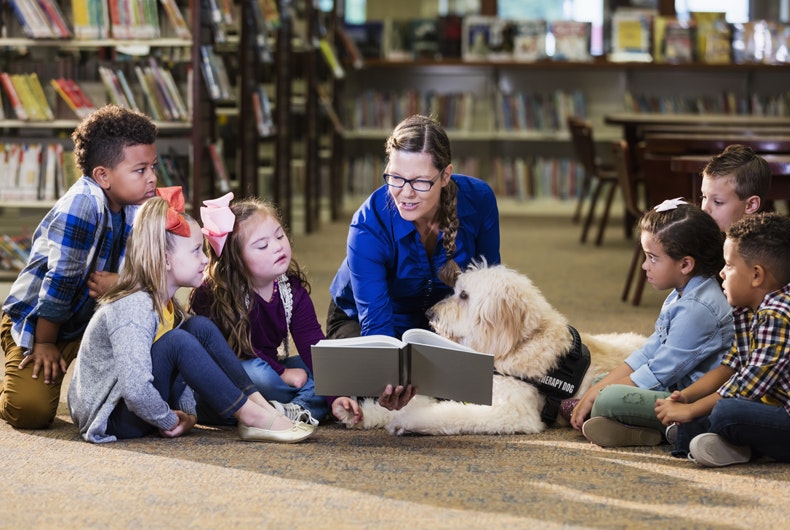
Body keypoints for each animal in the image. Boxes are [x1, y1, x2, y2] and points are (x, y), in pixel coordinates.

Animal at [334, 262, 648, 434]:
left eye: (463, 295)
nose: (430, 313)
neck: (520, 345)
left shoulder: (512, 411)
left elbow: (450, 413)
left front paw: (408, 420)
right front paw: (358, 413)